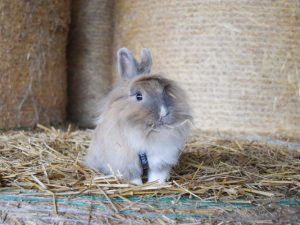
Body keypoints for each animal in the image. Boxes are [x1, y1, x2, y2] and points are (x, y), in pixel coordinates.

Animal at [84, 47, 192, 185]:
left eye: (163, 92)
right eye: (138, 96)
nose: (163, 113)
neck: (146, 132)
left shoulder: (160, 159)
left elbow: (157, 175)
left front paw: (155, 185)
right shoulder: (126, 161)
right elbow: (134, 177)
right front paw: (137, 185)